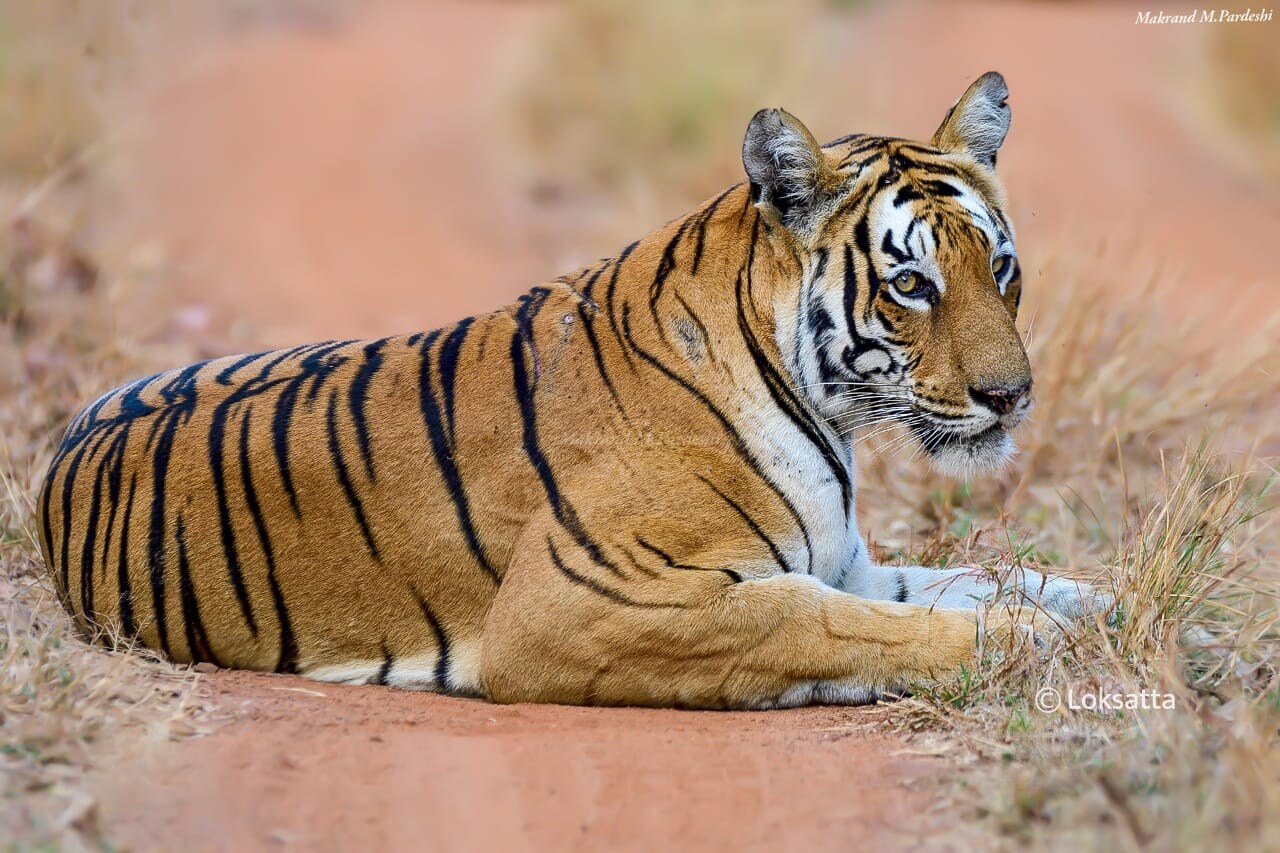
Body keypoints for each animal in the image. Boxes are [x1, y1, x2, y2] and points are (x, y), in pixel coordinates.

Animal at [35, 73, 1105, 706]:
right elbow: (821, 624)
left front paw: (1104, 607)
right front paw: (1033, 642)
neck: (819, 411)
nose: (1013, 396)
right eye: (912, 284)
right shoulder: (574, 605)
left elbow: (976, 579)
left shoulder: (844, 560)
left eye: (999, 269)